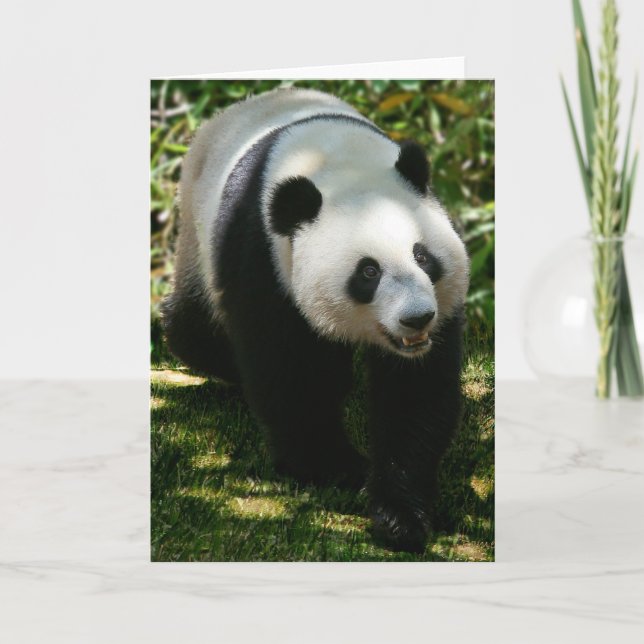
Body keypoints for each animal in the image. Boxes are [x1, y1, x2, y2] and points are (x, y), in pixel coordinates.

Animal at [162, 87, 469, 553]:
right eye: (368, 272)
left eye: (422, 256)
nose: (417, 318)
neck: (335, 160)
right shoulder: (263, 252)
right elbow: (288, 369)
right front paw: (334, 466)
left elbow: (414, 393)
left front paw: (400, 513)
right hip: (198, 237)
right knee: (194, 326)